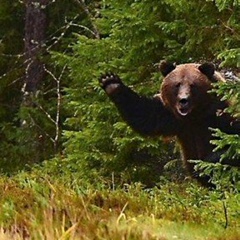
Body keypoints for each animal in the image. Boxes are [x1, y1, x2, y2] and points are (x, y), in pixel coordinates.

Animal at [98, 62, 239, 186]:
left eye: (193, 85)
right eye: (177, 84)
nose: (183, 100)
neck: (195, 116)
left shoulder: (221, 113)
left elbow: (230, 144)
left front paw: (207, 162)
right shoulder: (169, 115)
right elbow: (145, 115)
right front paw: (110, 82)